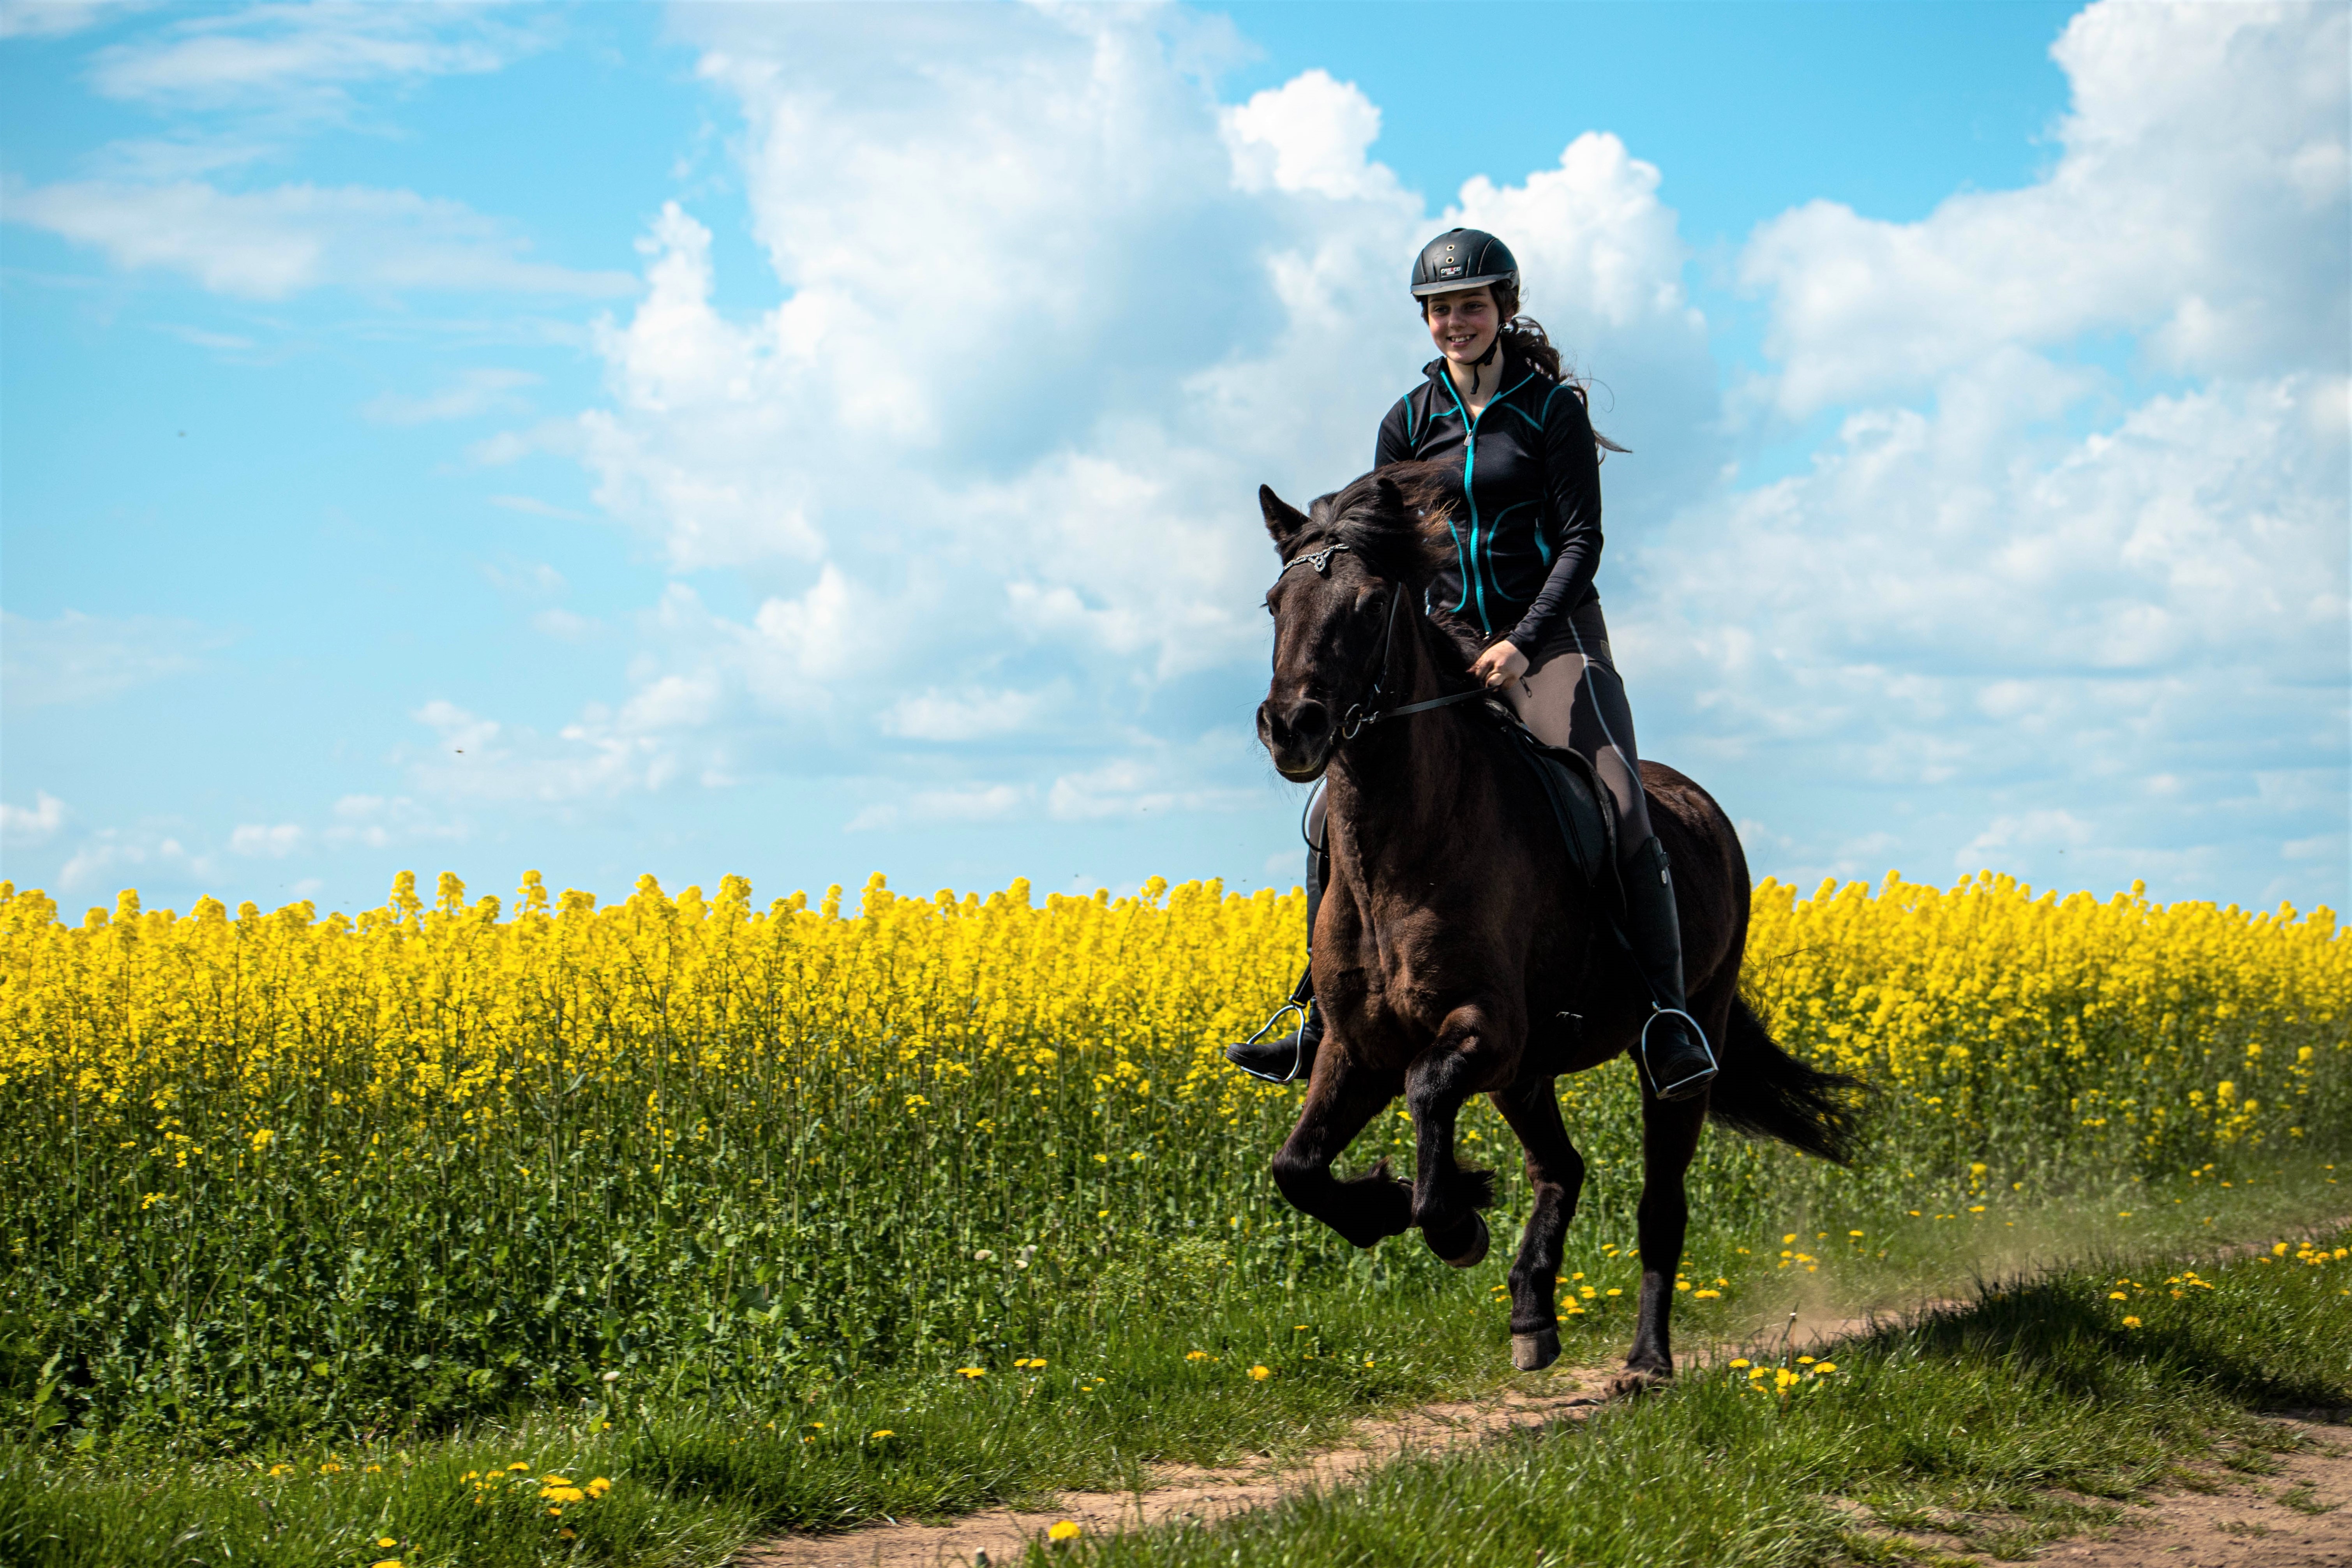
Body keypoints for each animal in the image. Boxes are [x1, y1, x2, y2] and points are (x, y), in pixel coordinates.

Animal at [1251, 472, 1853, 1382]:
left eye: (1367, 603)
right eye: (1273, 603)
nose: (1292, 727)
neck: (1404, 847)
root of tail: (1701, 806)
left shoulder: (1485, 1030)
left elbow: (1427, 1090)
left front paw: (1453, 1218)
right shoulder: (1356, 1048)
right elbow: (1297, 1168)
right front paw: (1401, 1206)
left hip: (1676, 1048)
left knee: (1659, 1200)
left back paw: (1646, 1360)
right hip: (1526, 1073)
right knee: (1560, 1166)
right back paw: (1533, 1308)